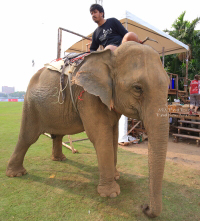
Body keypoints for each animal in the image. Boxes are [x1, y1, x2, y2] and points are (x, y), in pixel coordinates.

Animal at [6, 41, 169, 218]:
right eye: (137, 88)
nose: (145, 207)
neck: (110, 56)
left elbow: (113, 136)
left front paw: (116, 176)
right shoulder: (89, 97)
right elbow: (100, 136)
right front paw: (111, 193)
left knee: (57, 134)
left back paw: (59, 159)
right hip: (31, 103)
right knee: (28, 137)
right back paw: (16, 174)